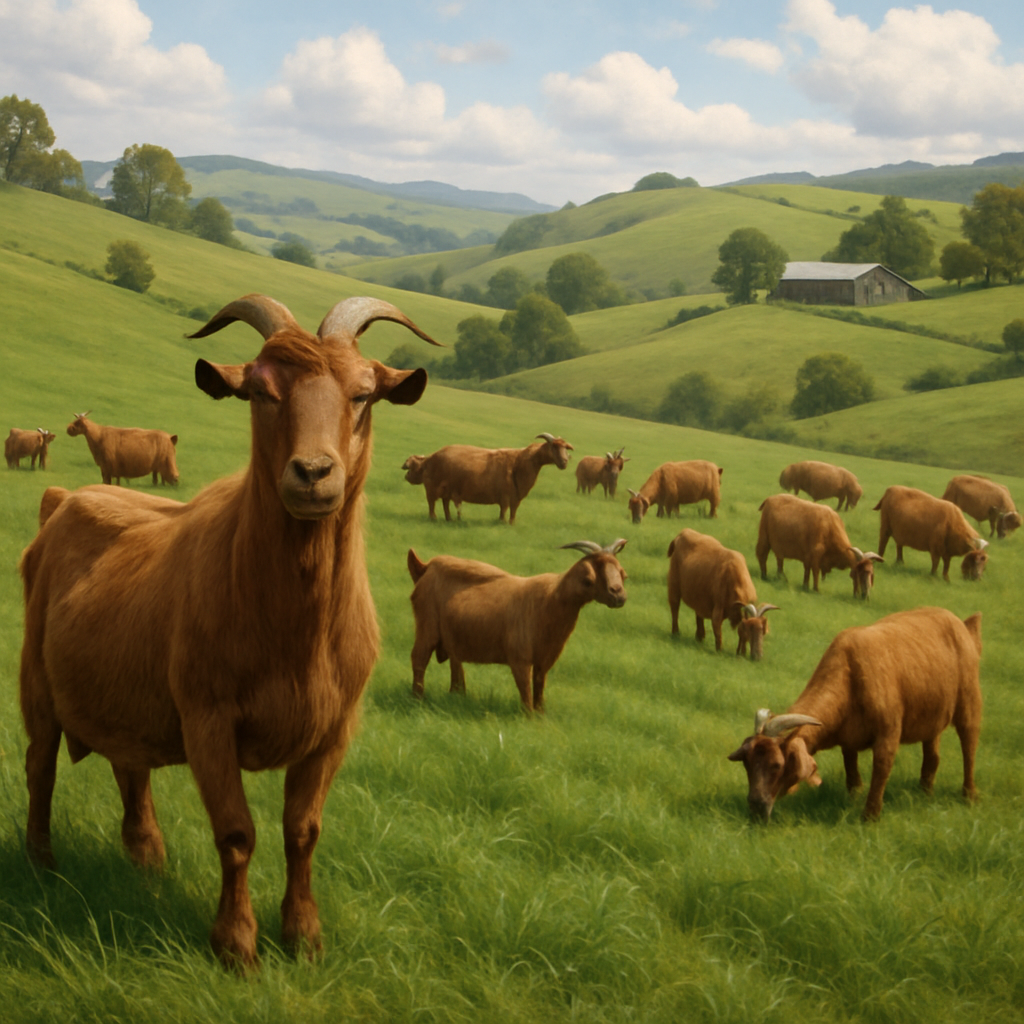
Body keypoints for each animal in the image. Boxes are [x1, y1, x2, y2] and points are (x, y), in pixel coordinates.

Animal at [19, 293, 438, 968]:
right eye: (261, 392)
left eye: (363, 395)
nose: (313, 473)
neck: (292, 631)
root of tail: (61, 501)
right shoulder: (207, 718)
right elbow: (237, 833)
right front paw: (236, 944)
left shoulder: (334, 730)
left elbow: (303, 831)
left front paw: (303, 936)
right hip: (35, 678)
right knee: (41, 764)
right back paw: (43, 861)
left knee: (130, 766)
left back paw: (147, 858)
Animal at [407, 540, 627, 711]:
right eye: (590, 579)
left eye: (623, 574)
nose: (618, 595)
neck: (550, 601)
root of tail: (425, 567)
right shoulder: (519, 659)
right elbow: (526, 694)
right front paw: (528, 719)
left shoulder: (544, 660)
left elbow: (538, 691)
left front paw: (540, 718)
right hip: (426, 627)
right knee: (419, 658)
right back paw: (418, 700)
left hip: (453, 638)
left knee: (456, 664)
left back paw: (457, 696)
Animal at [408, 433, 574, 523]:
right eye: (553, 447)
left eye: (565, 448)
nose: (565, 462)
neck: (521, 461)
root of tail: (430, 458)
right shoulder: (506, 495)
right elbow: (505, 510)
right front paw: (503, 522)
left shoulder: (516, 496)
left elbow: (512, 511)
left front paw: (511, 524)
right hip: (432, 487)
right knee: (431, 504)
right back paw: (434, 518)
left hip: (447, 489)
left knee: (445, 504)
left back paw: (449, 519)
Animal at [728, 607, 982, 821]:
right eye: (747, 764)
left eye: (776, 765)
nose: (756, 807)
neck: (851, 672)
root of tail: (961, 624)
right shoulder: (848, 741)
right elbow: (852, 775)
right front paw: (853, 801)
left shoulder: (889, 733)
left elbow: (881, 769)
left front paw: (870, 816)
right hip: (932, 718)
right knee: (932, 757)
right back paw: (925, 793)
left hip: (969, 702)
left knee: (969, 746)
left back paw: (969, 795)